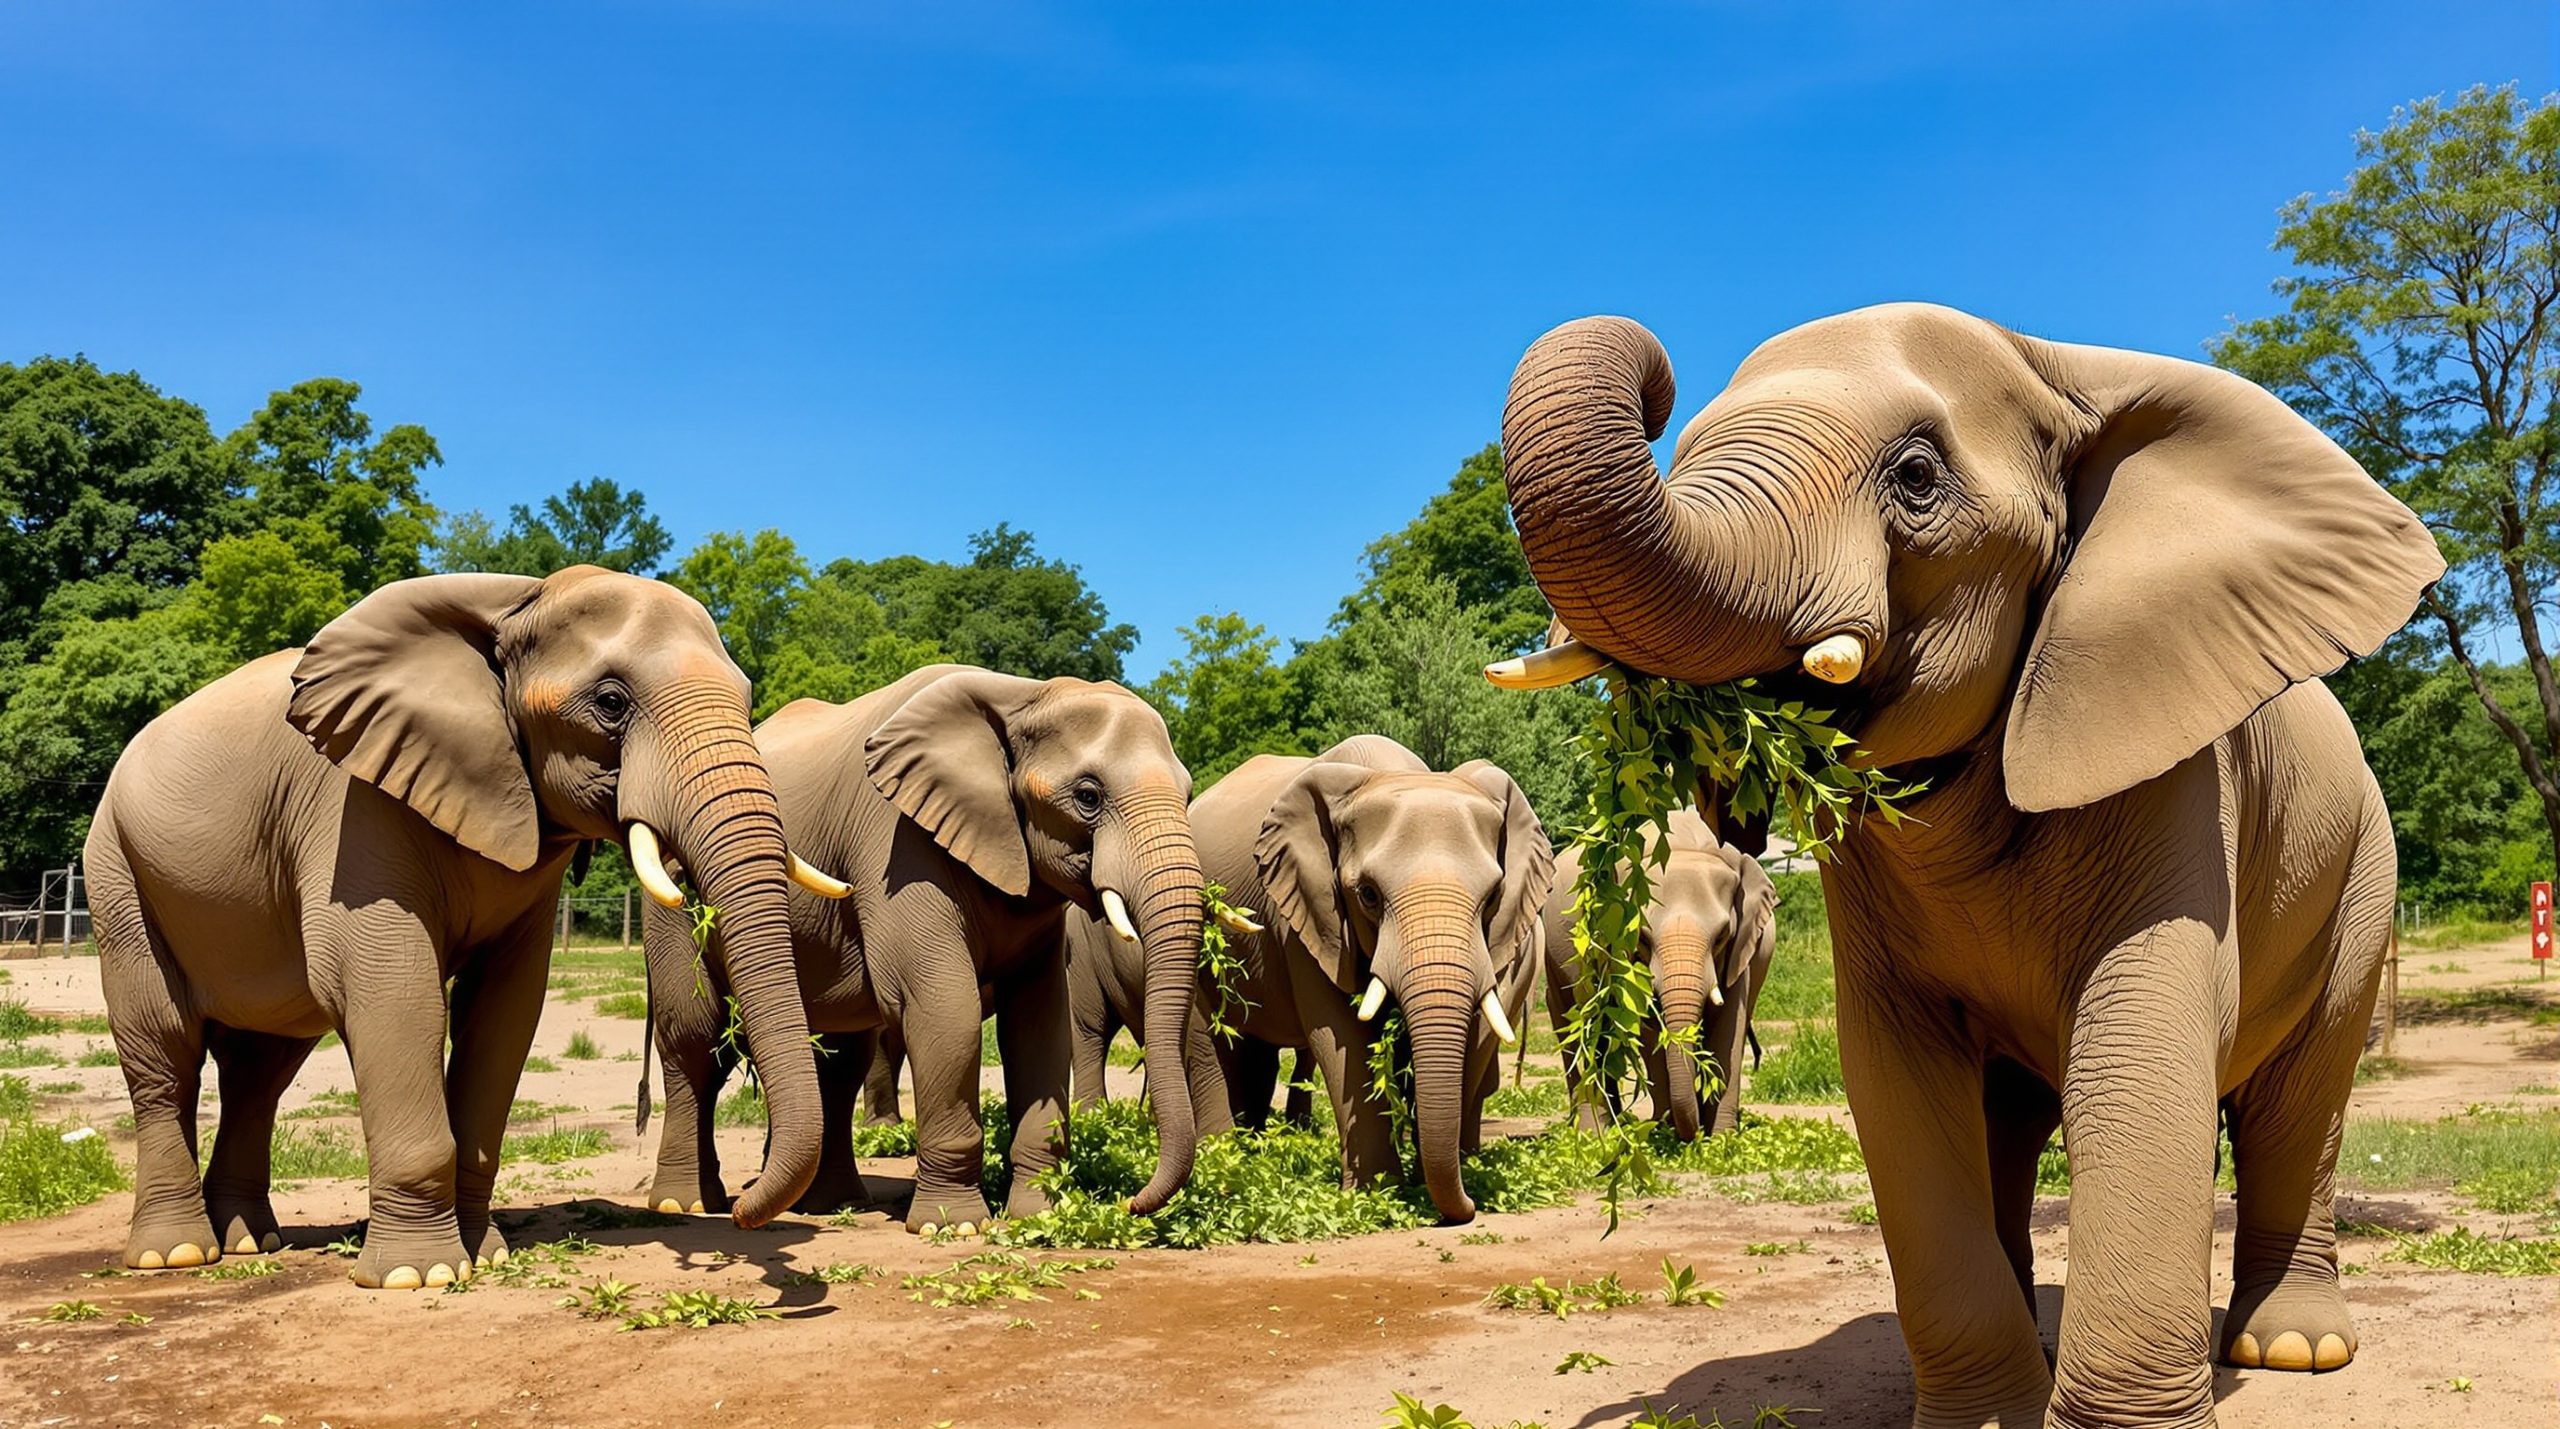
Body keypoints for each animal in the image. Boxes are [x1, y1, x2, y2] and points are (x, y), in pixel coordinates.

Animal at [84, 568, 828, 1290]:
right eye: (612, 702)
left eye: (747, 697)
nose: (740, 1209)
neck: (519, 601)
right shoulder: (352, 804)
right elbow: (389, 988)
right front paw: (421, 1274)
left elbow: (505, 1007)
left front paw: (486, 1255)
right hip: (116, 870)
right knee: (166, 1051)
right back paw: (176, 1254)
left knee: (261, 1068)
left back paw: (248, 1240)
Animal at [640, 663, 1205, 1233]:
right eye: (1089, 796)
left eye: (1187, 794)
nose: (1130, 1202)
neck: (1022, 696)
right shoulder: (897, 844)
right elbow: (945, 1011)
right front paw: (952, 1226)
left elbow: (1040, 1023)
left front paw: (1039, 1216)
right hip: (669, 899)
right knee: (693, 1041)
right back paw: (686, 1205)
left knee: (841, 1058)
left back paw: (831, 1204)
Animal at [1173, 734, 1554, 1223]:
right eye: (1368, 895)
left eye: (1492, 897)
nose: (1468, 1207)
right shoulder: (1305, 912)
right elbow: (1342, 1035)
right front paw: (1378, 1192)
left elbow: (1474, 1036)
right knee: (1212, 1044)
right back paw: (1226, 1163)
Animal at [1541, 809, 1774, 1141]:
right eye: (1643, 938)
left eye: (1721, 936)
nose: (1695, 1134)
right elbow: (1645, 1023)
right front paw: (1666, 1131)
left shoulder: (1740, 949)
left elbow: (1730, 1023)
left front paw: (1721, 1139)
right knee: (1576, 1022)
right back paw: (1593, 1134)